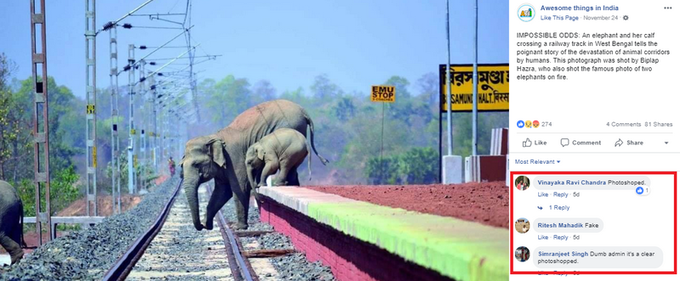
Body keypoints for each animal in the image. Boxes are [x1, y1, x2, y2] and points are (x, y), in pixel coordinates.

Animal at [181, 98, 330, 230]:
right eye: (181, 165)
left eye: (196, 164)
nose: (202, 226)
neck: (213, 137)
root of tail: (304, 111)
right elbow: (222, 191)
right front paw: (209, 224)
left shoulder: (234, 158)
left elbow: (239, 188)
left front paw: (240, 228)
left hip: (290, 127)